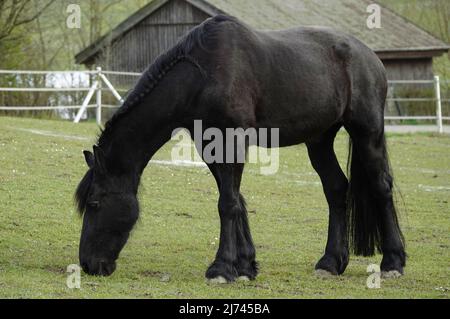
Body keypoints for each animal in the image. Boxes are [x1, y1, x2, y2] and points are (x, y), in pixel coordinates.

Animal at [75, 15, 406, 282]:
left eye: (94, 203)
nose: (89, 264)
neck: (203, 74)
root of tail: (369, 56)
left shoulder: (232, 140)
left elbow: (227, 202)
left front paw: (221, 269)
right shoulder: (210, 145)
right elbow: (235, 198)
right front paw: (245, 265)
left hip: (367, 131)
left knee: (381, 186)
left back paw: (393, 262)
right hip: (320, 139)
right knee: (336, 189)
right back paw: (330, 263)